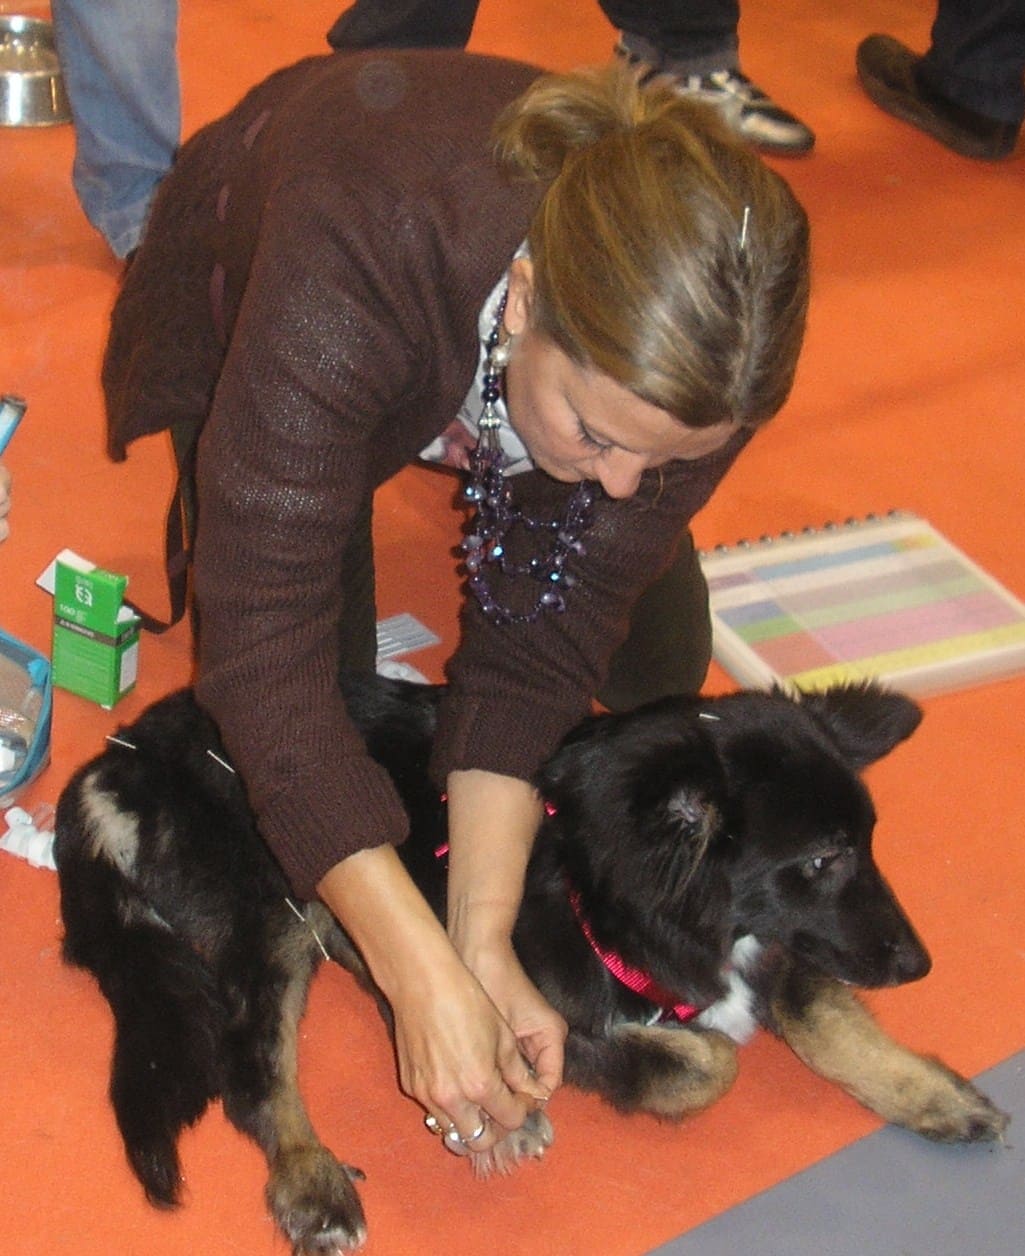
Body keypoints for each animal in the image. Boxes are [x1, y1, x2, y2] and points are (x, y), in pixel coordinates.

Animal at [52, 683, 1004, 1250]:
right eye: (819, 859)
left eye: (866, 844)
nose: (919, 963)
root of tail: (119, 755)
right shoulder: (548, 1006)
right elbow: (707, 1064)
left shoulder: (782, 949)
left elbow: (830, 1025)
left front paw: (938, 1098)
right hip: (277, 903)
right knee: (257, 1072)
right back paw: (310, 1179)